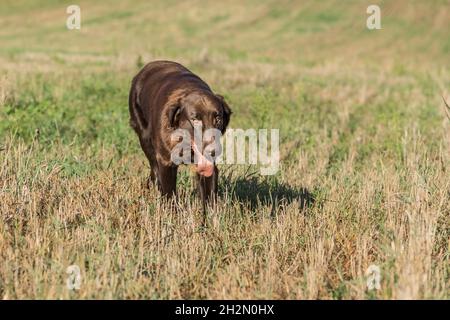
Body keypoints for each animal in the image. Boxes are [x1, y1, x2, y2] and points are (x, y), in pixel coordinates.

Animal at [127, 59, 230, 205]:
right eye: (195, 119)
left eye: (218, 119)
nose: (213, 151)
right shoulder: (166, 162)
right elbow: (170, 196)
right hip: (144, 137)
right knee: (154, 169)